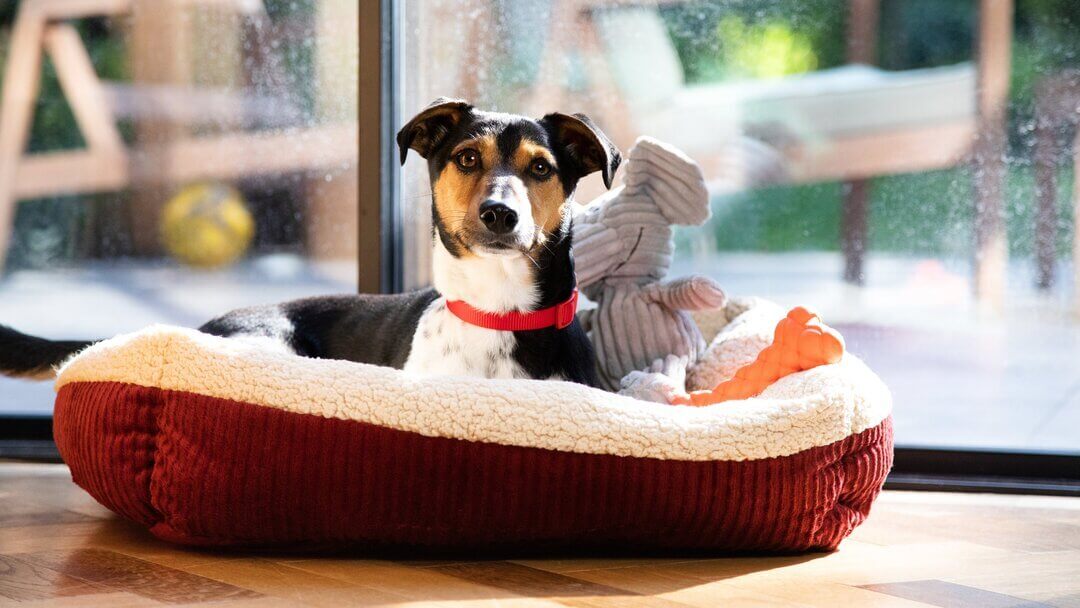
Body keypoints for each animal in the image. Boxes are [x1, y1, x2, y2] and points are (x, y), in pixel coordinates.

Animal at [0, 98, 622, 384]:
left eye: (541, 169)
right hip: (272, 348)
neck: (498, 311)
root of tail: (196, 327)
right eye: (468, 158)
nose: (499, 214)